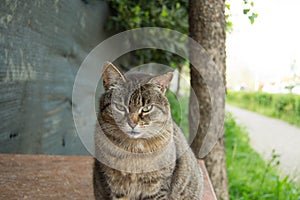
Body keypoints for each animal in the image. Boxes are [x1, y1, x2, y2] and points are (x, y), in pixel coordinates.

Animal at [92, 61, 203, 199]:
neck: (133, 150)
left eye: (147, 108)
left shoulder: (157, 187)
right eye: (120, 107)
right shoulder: (115, 187)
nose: (132, 123)